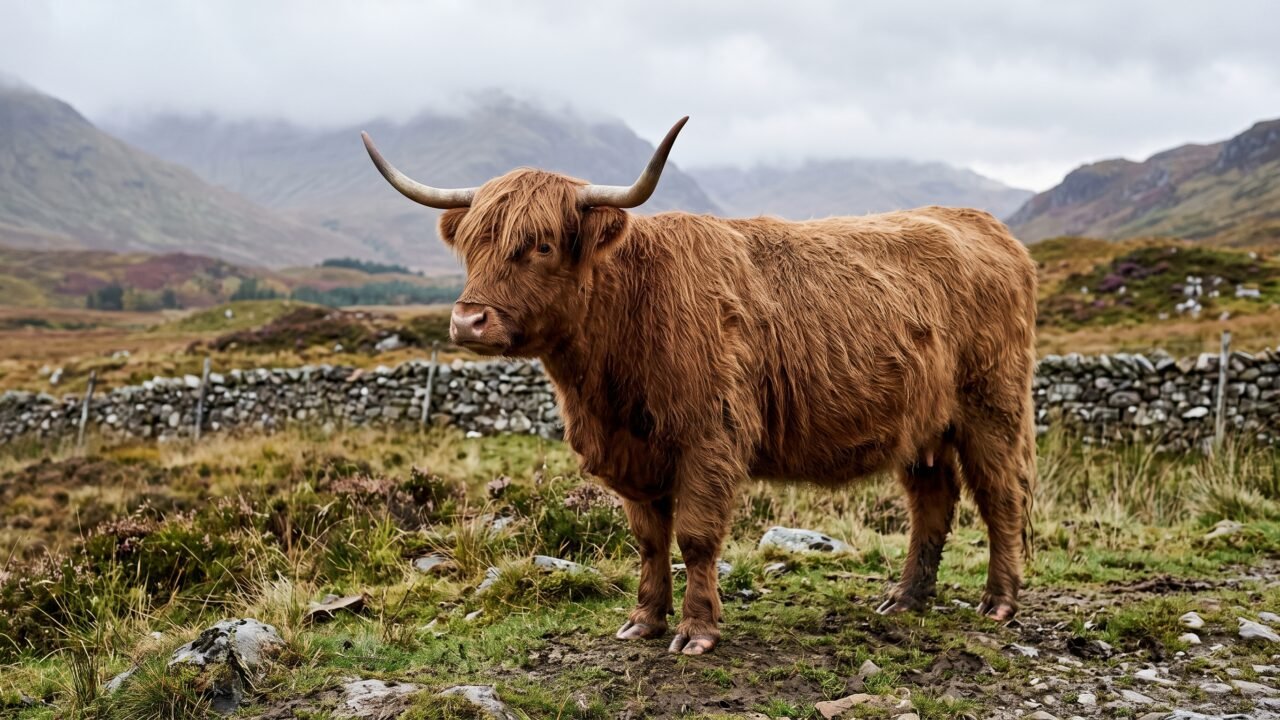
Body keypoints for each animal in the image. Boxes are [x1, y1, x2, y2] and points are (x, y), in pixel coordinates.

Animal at [361, 118, 1037, 655]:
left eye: (542, 245)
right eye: (472, 244)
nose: (467, 321)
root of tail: (984, 226)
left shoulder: (711, 438)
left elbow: (696, 536)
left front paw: (697, 632)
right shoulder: (632, 453)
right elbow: (647, 538)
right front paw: (644, 620)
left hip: (992, 408)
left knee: (1001, 496)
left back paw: (999, 602)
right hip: (923, 424)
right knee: (933, 500)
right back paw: (907, 599)